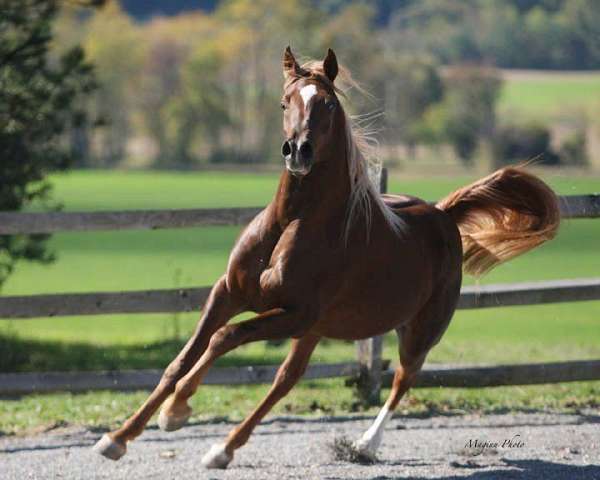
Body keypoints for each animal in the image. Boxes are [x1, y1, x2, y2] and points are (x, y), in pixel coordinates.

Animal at [92, 47, 556, 466]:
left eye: (328, 104)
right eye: (284, 102)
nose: (298, 151)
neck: (291, 223)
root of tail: (443, 214)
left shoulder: (294, 314)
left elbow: (224, 338)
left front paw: (176, 412)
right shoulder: (229, 294)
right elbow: (182, 360)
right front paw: (117, 438)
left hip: (418, 329)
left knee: (402, 379)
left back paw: (364, 445)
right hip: (319, 328)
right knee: (287, 380)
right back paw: (223, 450)